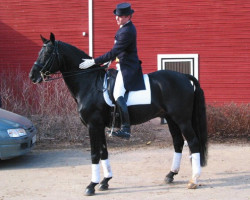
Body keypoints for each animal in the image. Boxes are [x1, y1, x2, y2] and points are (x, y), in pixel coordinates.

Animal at [29, 32, 208, 195]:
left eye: (48, 53)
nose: (32, 76)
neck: (89, 83)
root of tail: (183, 76)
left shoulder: (93, 125)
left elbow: (94, 154)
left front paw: (91, 185)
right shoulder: (99, 126)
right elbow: (103, 151)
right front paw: (105, 181)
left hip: (182, 120)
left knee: (193, 142)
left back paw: (194, 180)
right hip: (171, 119)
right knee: (178, 143)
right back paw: (171, 175)